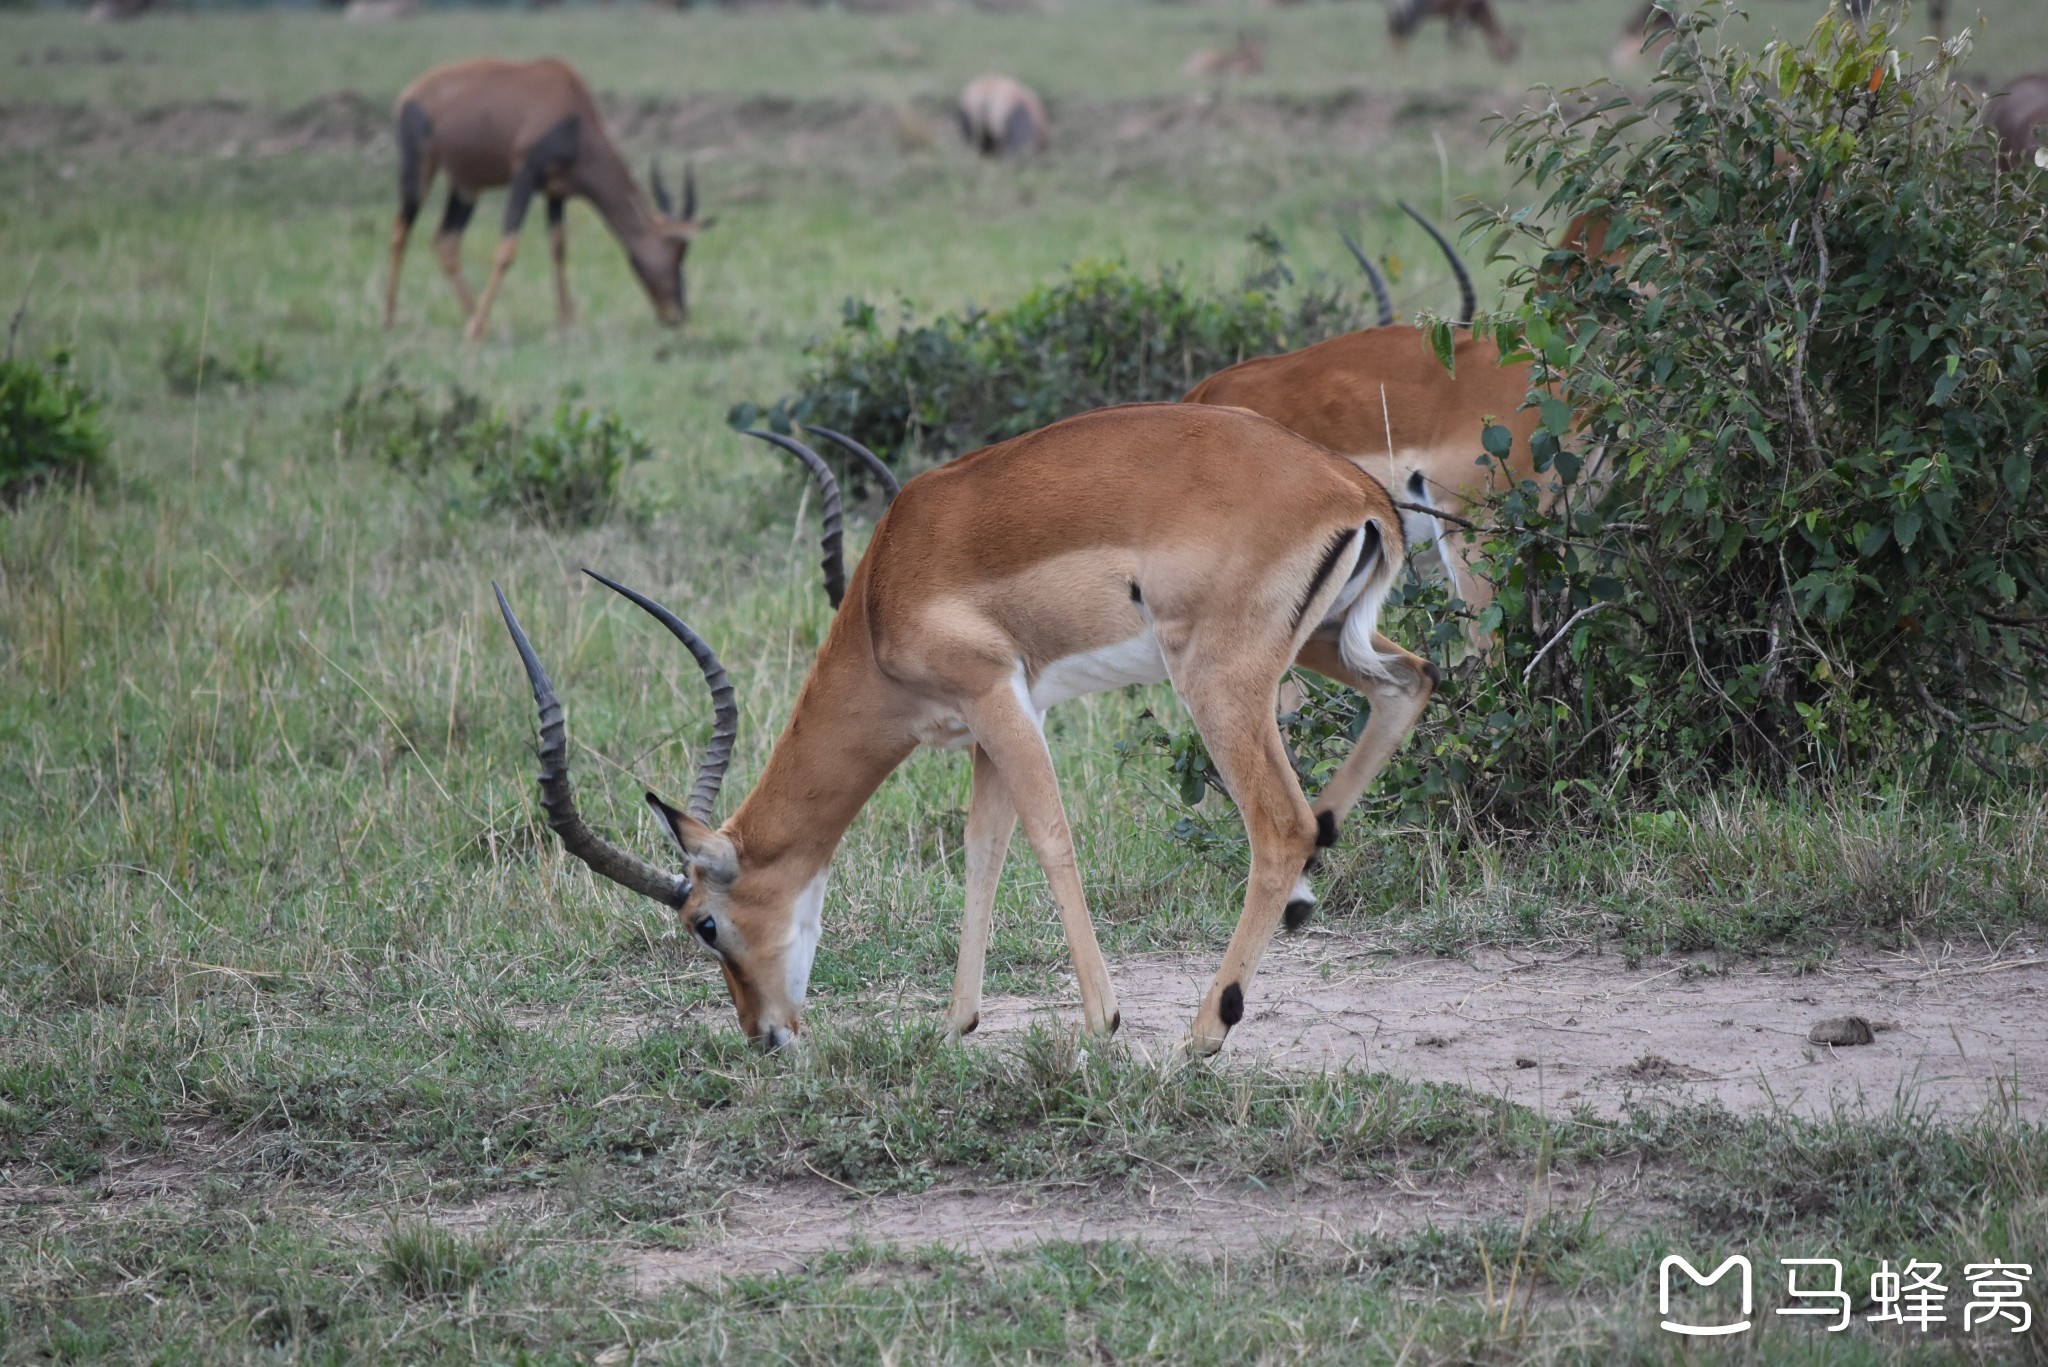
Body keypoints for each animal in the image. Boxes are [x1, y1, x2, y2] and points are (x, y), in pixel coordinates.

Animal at [387, 60, 716, 342]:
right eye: (675, 251)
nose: (675, 316)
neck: (572, 110)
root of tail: (409, 94)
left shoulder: (556, 193)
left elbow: (558, 247)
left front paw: (564, 323)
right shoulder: (525, 175)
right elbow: (507, 250)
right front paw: (474, 333)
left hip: (466, 185)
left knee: (446, 241)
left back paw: (480, 321)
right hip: (419, 169)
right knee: (400, 231)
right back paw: (391, 321)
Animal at [491, 401, 1441, 1057]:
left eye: (705, 924)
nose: (766, 1034)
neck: (883, 593)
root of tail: (1357, 492)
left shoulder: (998, 696)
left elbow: (1049, 837)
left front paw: (1102, 1021)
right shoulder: (991, 723)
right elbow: (984, 852)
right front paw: (955, 1025)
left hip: (1216, 678)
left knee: (1278, 824)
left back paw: (1203, 1032)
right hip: (1328, 643)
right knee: (1412, 683)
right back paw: (1306, 893)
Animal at [1392, 0, 1523, 64]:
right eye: (1511, 49)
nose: (1507, 64)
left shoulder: (1452, 16)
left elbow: (1452, 38)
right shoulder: (1462, 13)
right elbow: (1461, 39)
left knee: (1395, 32)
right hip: (1416, 14)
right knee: (1401, 33)